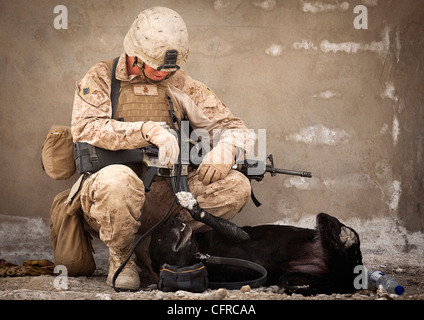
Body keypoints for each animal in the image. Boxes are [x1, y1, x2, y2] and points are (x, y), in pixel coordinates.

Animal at [148, 194, 362, 294]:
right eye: (158, 239)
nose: (173, 220)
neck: (199, 252)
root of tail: (348, 274)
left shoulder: (241, 236)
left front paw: (191, 205)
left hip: (322, 220)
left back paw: (346, 236)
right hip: (293, 277)